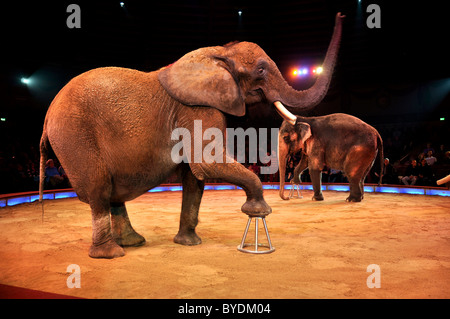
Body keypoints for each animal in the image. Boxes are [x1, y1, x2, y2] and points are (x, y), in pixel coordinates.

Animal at [41, 13, 344, 260]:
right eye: (260, 70)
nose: (341, 14)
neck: (220, 52)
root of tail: (47, 117)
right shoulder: (198, 108)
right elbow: (206, 163)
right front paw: (258, 210)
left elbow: (194, 176)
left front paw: (189, 243)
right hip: (74, 135)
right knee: (99, 187)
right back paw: (111, 254)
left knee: (112, 193)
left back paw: (133, 242)